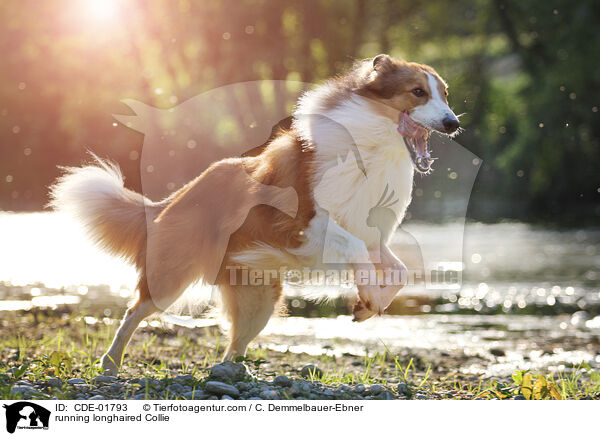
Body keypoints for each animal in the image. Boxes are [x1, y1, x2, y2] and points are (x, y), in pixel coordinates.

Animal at [49, 54, 460, 374]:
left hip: (258, 303)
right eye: (418, 92)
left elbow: (400, 272)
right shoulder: (305, 226)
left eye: (445, 94)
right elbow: (359, 252)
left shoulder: (371, 235)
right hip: (171, 280)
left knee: (232, 345)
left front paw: (365, 307)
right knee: (132, 312)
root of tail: (169, 201)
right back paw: (110, 363)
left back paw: (232, 373)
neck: (374, 146)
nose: (453, 123)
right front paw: (369, 300)